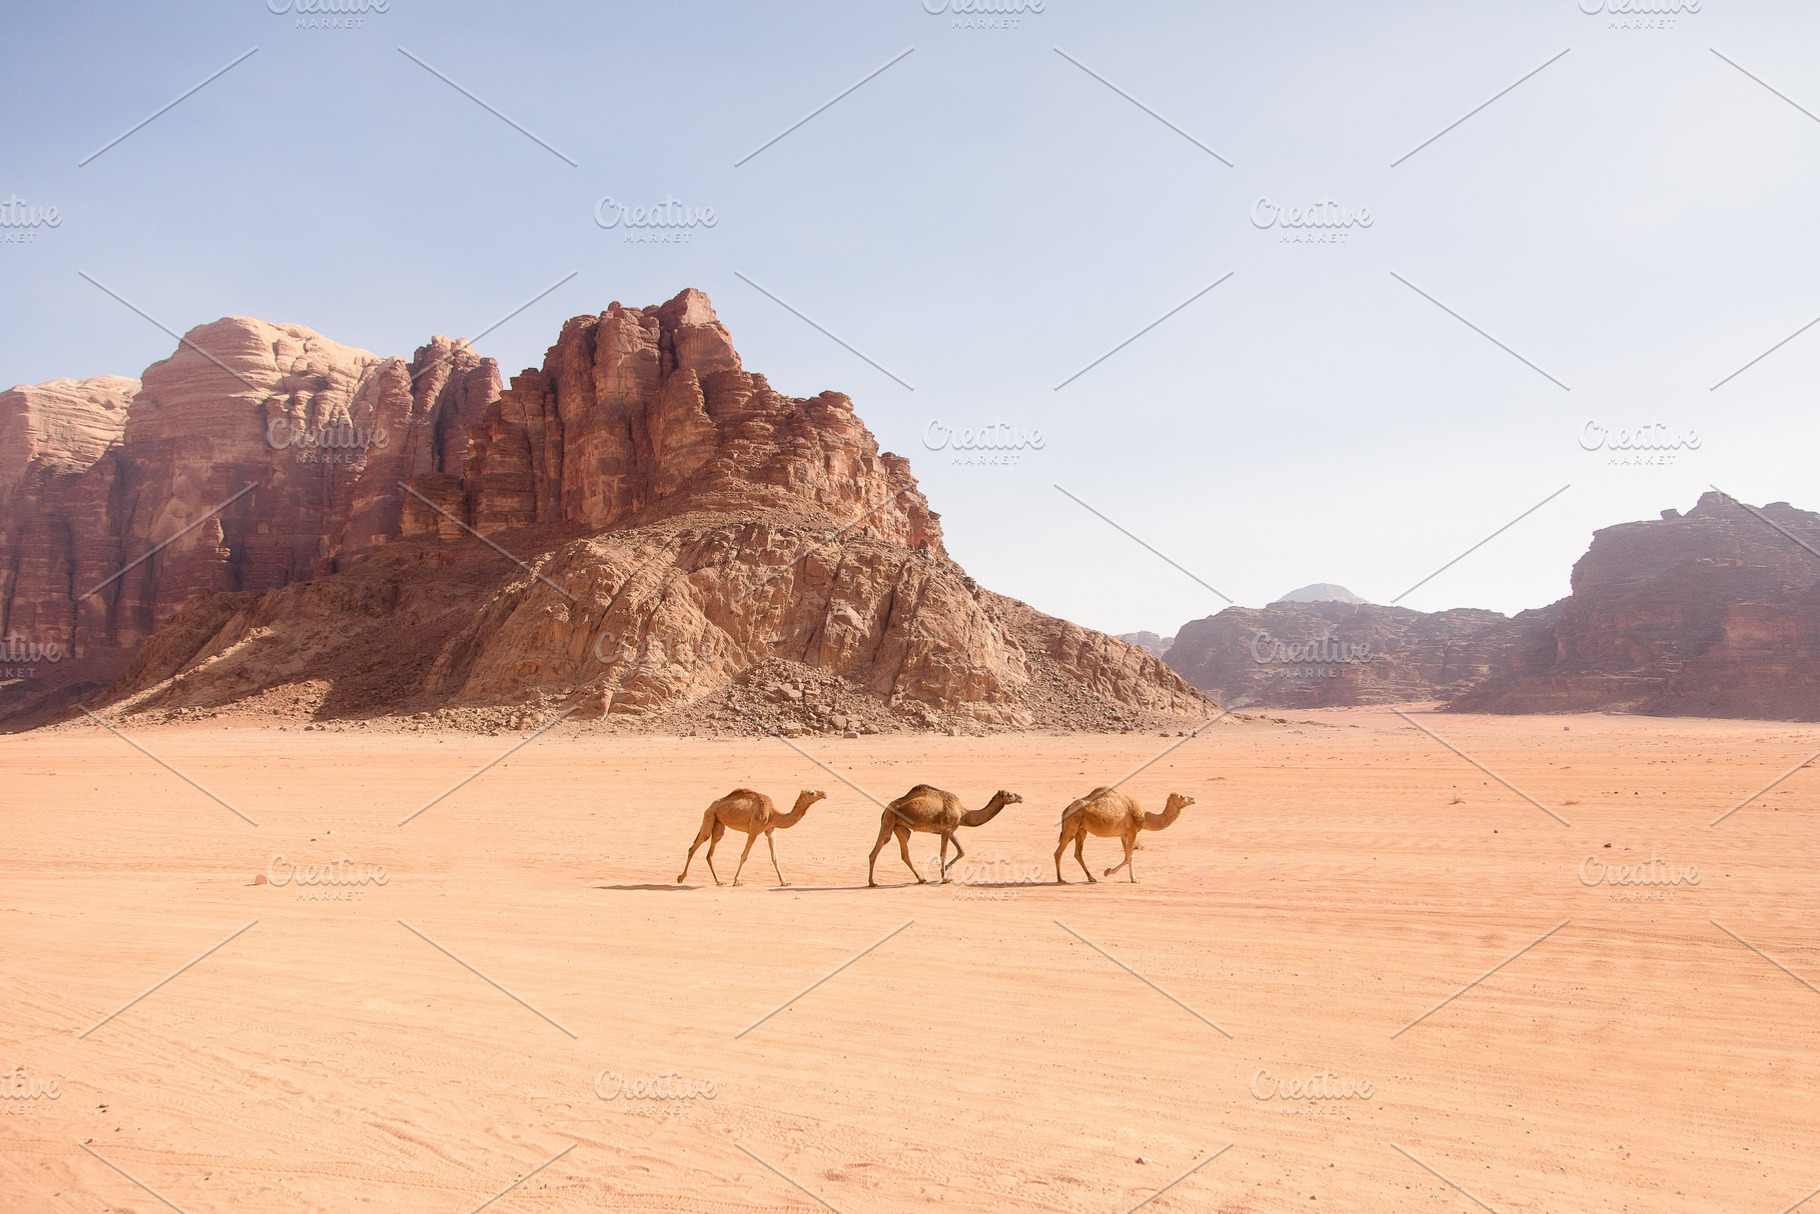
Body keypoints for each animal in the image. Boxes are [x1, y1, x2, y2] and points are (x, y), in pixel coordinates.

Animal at [677, 789, 825, 887]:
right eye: (812, 792)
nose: (824, 793)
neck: (772, 813)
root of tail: (710, 805)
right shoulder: (754, 830)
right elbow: (744, 855)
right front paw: (736, 881)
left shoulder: (770, 830)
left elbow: (774, 857)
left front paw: (784, 881)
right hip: (709, 815)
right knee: (696, 844)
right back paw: (681, 878)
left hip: (718, 823)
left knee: (710, 852)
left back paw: (719, 881)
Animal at [867, 785, 1021, 887]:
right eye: (1009, 794)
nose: (1020, 797)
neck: (963, 812)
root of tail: (886, 808)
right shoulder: (946, 830)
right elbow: (943, 853)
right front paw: (944, 878)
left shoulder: (952, 830)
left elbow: (961, 851)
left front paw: (946, 868)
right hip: (889, 819)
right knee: (878, 847)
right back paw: (872, 882)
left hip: (900, 827)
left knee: (904, 852)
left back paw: (921, 879)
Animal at [1054, 788, 1193, 884]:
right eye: (1182, 796)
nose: (1192, 799)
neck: (1145, 816)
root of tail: (1066, 809)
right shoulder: (1133, 831)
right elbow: (1130, 857)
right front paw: (1113, 873)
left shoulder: (1123, 834)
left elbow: (1127, 856)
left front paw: (1125, 876)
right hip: (1071, 827)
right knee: (1058, 852)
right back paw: (1061, 879)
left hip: (1081, 830)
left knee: (1078, 853)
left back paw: (1091, 878)